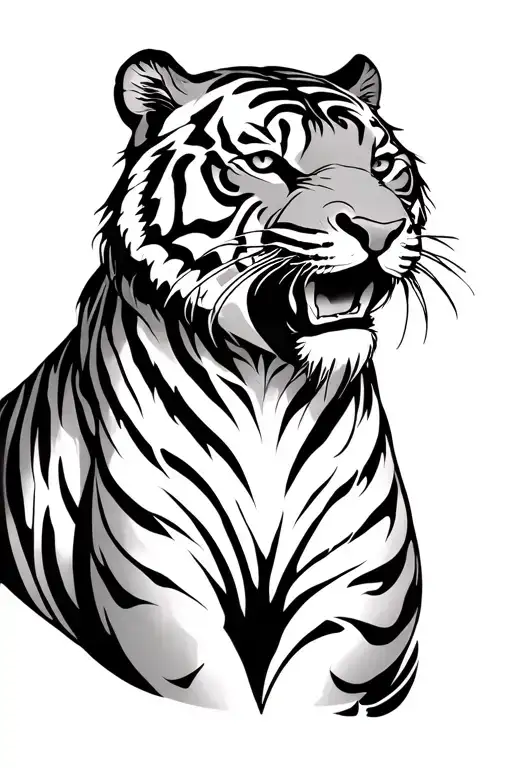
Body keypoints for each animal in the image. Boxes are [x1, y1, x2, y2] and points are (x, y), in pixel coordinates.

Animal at [0, 48, 456, 716]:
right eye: (265, 163)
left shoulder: (364, 595)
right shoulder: (162, 592)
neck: (269, 379)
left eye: (383, 166)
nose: (379, 229)